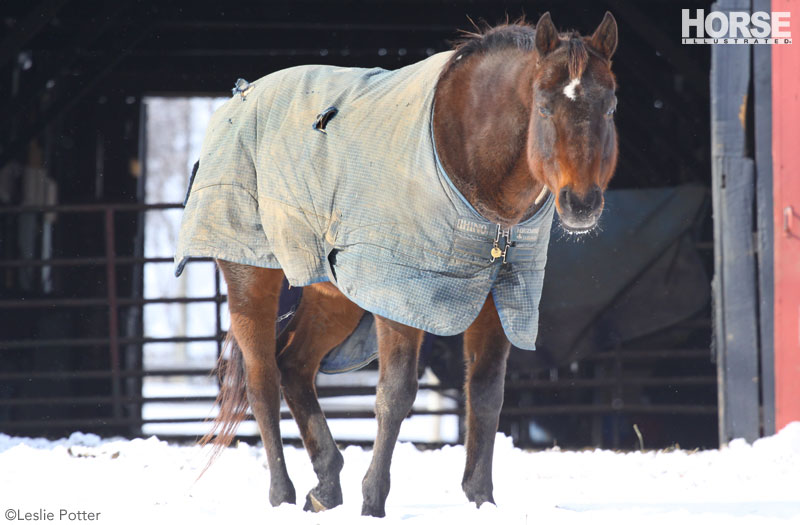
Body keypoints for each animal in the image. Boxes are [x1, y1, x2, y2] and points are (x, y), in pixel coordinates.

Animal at [194, 11, 620, 516]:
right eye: (545, 107)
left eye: (610, 106)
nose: (581, 204)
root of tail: (240, 96)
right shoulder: (401, 297)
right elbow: (395, 396)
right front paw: (373, 501)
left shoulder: (500, 297)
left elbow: (486, 395)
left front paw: (481, 500)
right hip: (249, 271)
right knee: (262, 379)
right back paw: (282, 495)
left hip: (332, 292)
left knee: (294, 366)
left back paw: (326, 486)